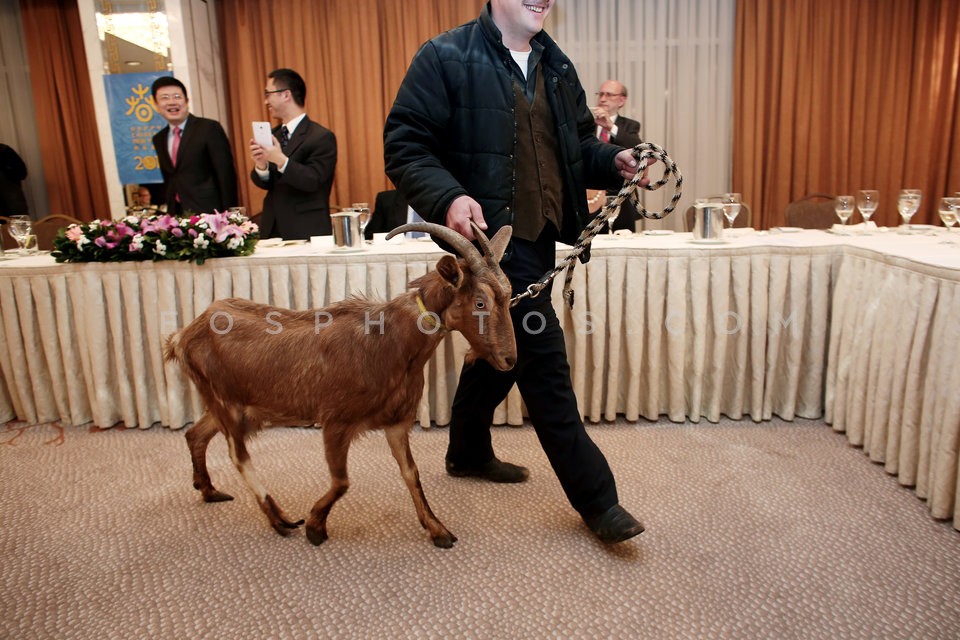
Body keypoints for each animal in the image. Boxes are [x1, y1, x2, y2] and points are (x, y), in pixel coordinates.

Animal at [163, 222, 516, 548]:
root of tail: (183, 336)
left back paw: (209, 490)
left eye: (509, 295)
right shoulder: (335, 422)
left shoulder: (396, 422)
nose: (510, 359)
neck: (389, 341)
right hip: (227, 404)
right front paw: (315, 526)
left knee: (196, 435)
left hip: (231, 405)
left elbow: (410, 474)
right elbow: (342, 481)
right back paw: (279, 519)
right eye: (480, 303)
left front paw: (438, 530)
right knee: (238, 456)